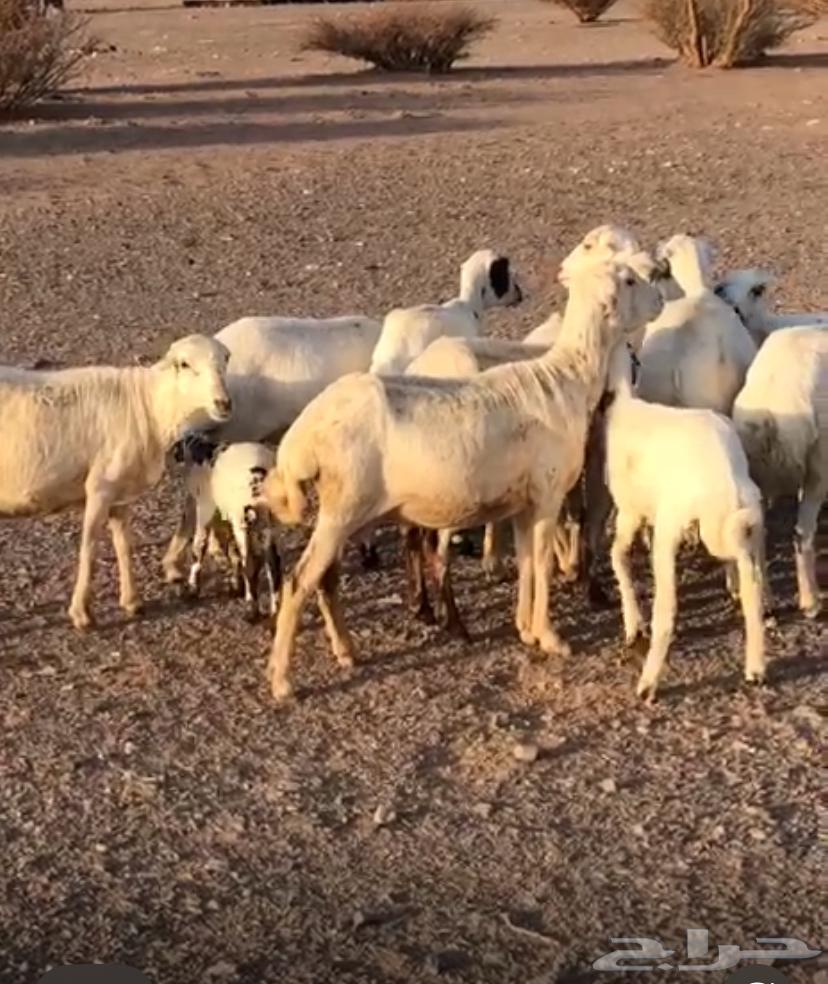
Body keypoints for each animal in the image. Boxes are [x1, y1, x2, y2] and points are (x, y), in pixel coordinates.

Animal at [0, 335, 232, 629]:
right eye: (184, 364)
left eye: (226, 359)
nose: (224, 403)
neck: (148, 407)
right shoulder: (100, 488)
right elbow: (89, 549)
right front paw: (81, 613)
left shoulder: (122, 494)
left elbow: (123, 546)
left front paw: (132, 601)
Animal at [173, 435, 281, 622]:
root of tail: (259, 477)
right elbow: (231, 551)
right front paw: (235, 585)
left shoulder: (206, 511)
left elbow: (198, 549)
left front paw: (192, 588)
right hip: (265, 525)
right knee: (272, 565)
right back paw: (275, 612)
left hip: (242, 522)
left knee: (250, 566)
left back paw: (251, 610)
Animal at [604, 344, 767, 701]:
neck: (625, 401)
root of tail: (726, 483)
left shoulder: (630, 512)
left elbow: (618, 556)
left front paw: (633, 626)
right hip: (741, 517)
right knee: (751, 583)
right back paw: (756, 668)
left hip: (672, 523)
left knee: (667, 609)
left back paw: (647, 684)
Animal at [732, 326, 827, 619]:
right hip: (818, 466)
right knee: (801, 533)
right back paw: (810, 602)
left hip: (754, 476)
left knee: (758, 539)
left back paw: (765, 603)